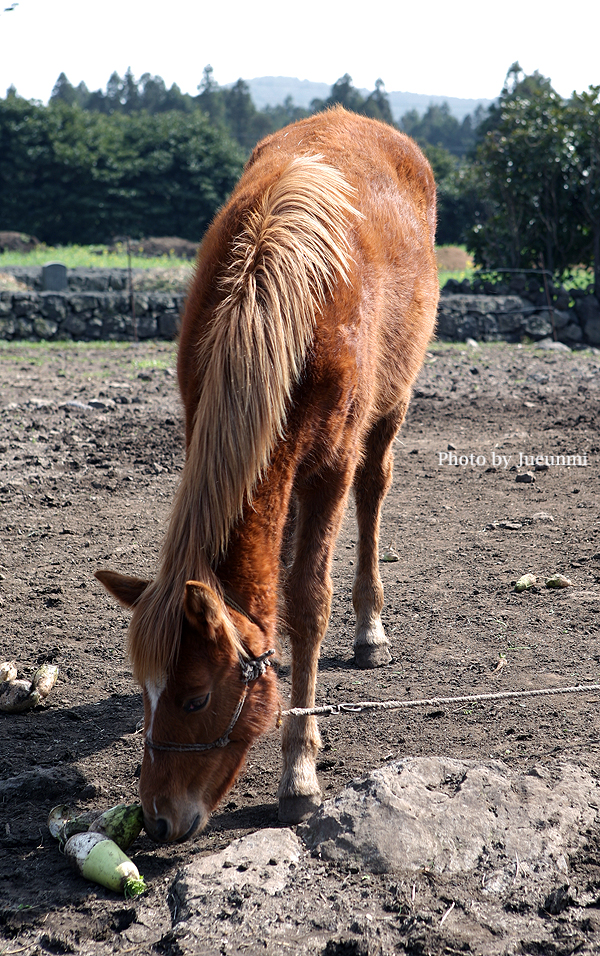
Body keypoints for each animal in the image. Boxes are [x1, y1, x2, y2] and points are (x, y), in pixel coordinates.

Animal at [96, 106, 438, 844]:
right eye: (146, 692)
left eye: (197, 697)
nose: (157, 819)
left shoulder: (330, 469)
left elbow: (308, 602)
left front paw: (300, 771)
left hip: (389, 410)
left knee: (374, 491)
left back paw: (370, 630)